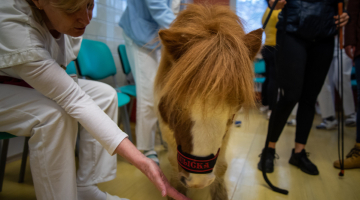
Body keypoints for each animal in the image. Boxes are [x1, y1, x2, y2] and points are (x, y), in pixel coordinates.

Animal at [154, 3, 262, 199]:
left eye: (235, 107)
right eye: (176, 104)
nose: (198, 181)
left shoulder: (226, 134)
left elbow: (221, 167)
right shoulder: (166, 129)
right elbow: (174, 163)